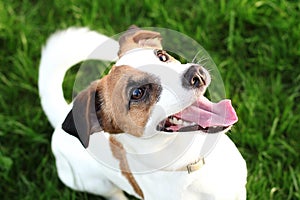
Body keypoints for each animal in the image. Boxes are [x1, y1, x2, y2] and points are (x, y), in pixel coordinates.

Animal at [39, 25, 246, 199]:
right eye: (137, 93)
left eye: (162, 56)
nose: (197, 74)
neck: (191, 162)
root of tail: (62, 115)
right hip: (92, 182)